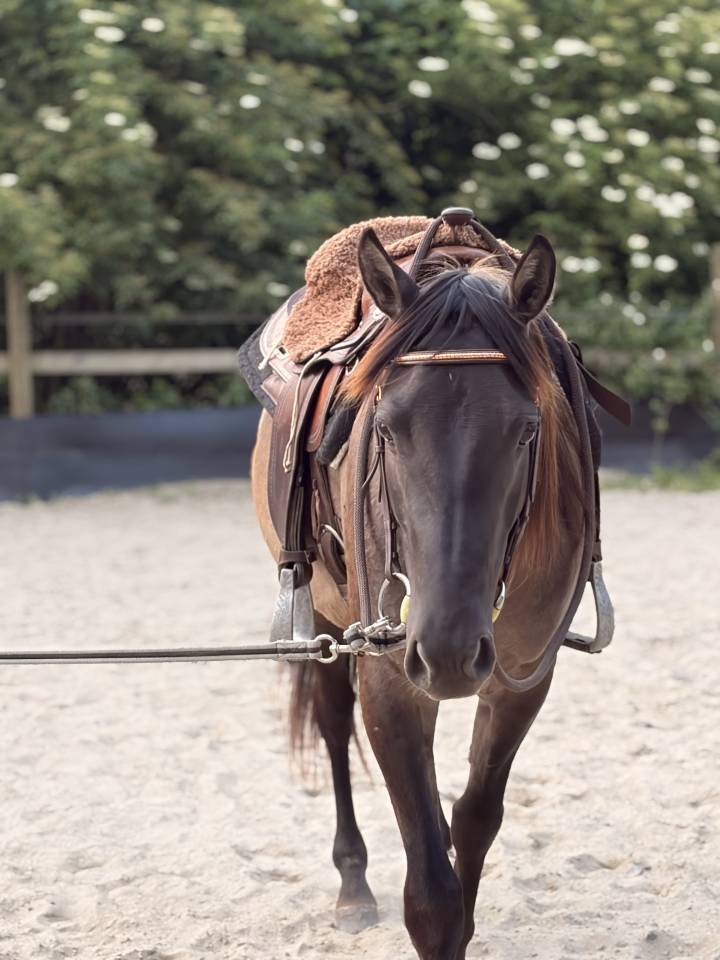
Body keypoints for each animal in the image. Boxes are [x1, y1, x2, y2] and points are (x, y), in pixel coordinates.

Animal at [250, 227, 586, 959]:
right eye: (384, 428)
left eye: (527, 430)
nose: (450, 650)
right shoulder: (391, 678)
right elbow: (430, 893)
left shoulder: (523, 677)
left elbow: (474, 818)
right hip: (329, 618)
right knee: (332, 724)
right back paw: (352, 885)